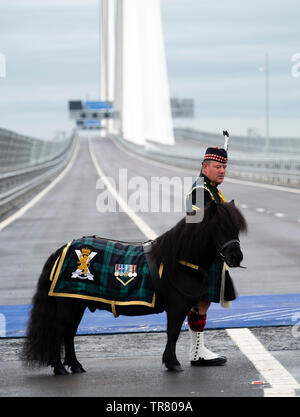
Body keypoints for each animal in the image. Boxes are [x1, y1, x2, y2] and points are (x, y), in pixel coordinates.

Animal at [20, 199, 246, 374]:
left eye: (236, 228)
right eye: (220, 227)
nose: (236, 257)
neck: (177, 260)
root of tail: (61, 250)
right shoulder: (176, 307)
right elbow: (172, 332)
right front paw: (172, 363)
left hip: (77, 303)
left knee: (69, 333)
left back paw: (75, 366)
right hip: (68, 304)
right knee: (59, 331)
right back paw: (59, 368)